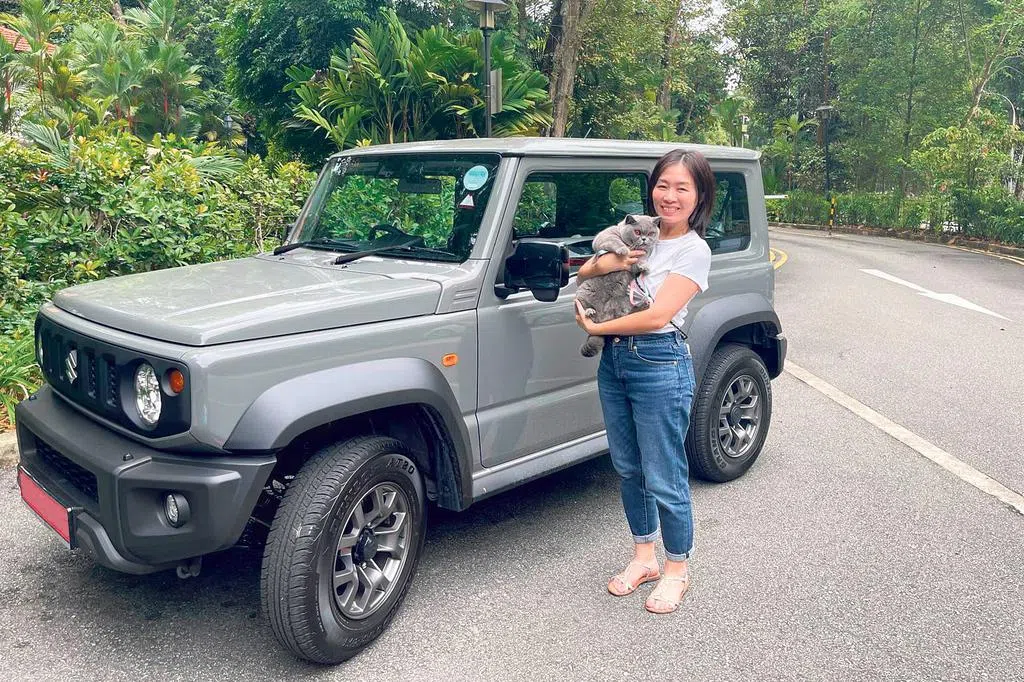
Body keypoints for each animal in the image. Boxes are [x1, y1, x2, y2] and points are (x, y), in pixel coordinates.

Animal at [575, 214, 661, 357]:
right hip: (583, 291)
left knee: (625, 317)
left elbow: (640, 261)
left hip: (624, 300)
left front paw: (644, 267)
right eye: (637, 232)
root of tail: (602, 322)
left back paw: (644, 304)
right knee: (582, 308)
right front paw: (623, 250)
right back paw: (589, 312)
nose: (644, 239)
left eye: (650, 233)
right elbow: (615, 241)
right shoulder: (605, 236)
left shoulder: (641, 258)